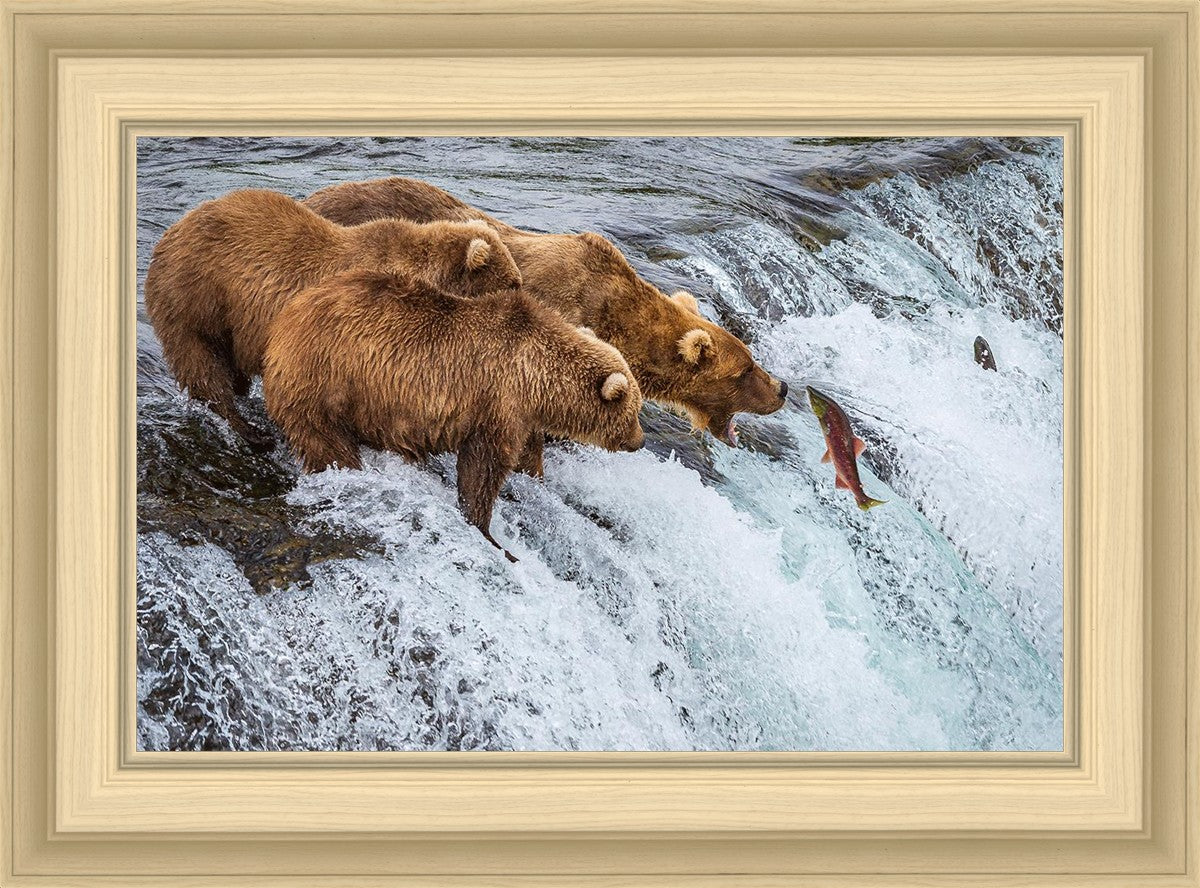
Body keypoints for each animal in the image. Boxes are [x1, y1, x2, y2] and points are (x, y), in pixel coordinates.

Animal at [144, 188, 523, 451]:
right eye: (513, 282)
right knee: (202, 365)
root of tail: (170, 232)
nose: (524, 296)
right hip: (196, 298)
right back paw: (249, 431)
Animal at [262, 268, 645, 559]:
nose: (640, 441)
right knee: (327, 442)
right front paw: (490, 533)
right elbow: (483, 469)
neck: (536, 377)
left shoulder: (522, 416)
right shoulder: (497, 402)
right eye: (634, 411)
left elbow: (526, 456)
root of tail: (284, 321)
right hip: (325, 381)